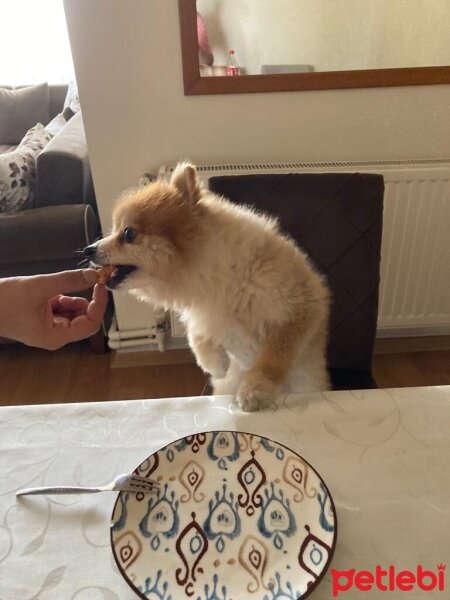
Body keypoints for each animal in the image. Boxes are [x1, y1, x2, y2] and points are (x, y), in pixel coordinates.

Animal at [84, 162, 330, 410]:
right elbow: (198, 337)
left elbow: (273, 357)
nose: (88, 249)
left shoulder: (301, 307)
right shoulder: (202, 314)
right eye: (115, 230)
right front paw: (217, 365)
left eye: (128, 233)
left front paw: (255, 389)